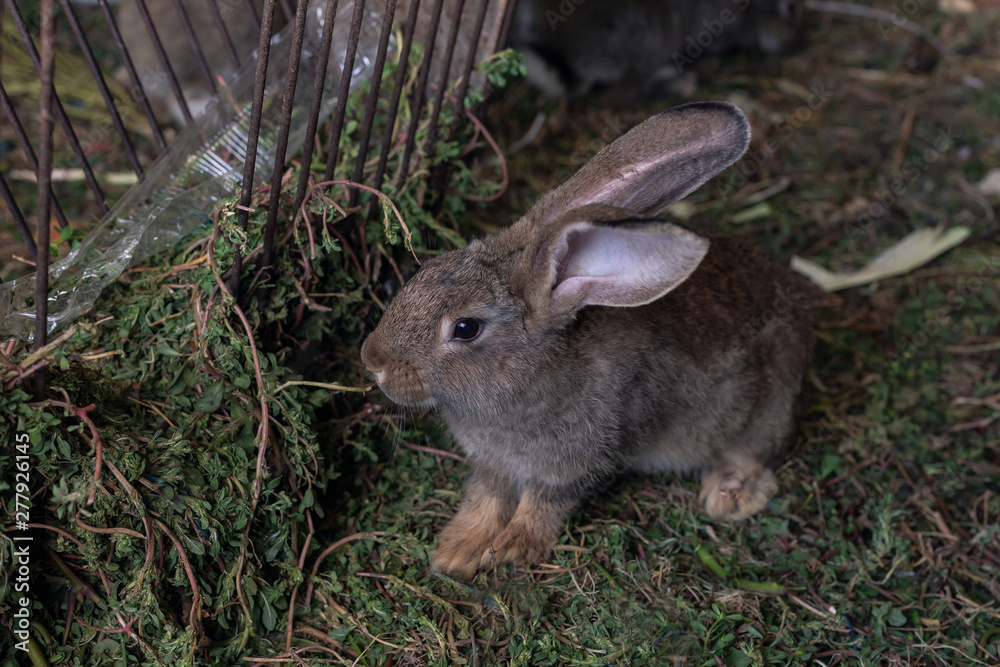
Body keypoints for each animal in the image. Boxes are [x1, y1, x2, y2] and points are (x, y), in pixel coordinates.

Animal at [360, 101, 814, 579]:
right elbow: (485, 499)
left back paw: (729, 492)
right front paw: (457, 551)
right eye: (425, 270)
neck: (529, 375)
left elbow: (543, 503)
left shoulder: (576, 462)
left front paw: (513, 547)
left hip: (769, 400)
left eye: (466, 328)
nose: (372, 360)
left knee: (757, 449)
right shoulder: (494, 466)